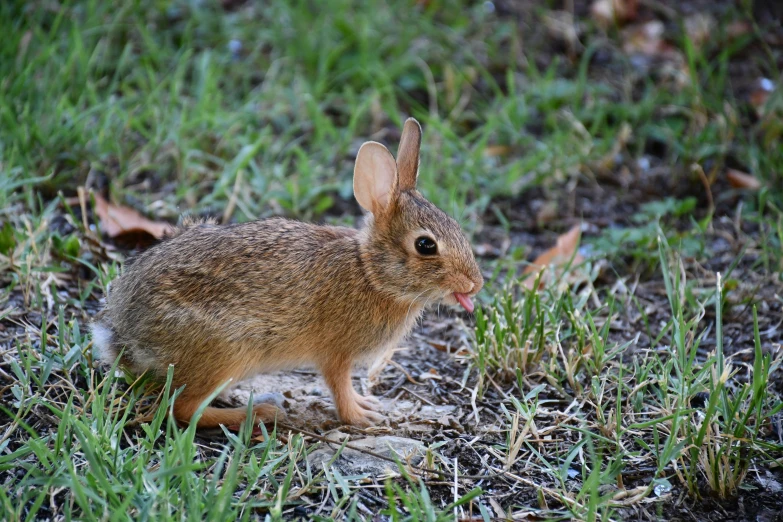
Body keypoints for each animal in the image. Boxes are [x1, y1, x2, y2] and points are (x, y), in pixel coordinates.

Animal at [92, 119, 484, 426]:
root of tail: (124, 332)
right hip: (226, 353)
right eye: (426, 245)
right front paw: (362, 417)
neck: (371, 273)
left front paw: (367, 405)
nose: (475, 284)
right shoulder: (335, 355)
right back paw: (261, 413)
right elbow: (339, 387)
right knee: (183, 409)